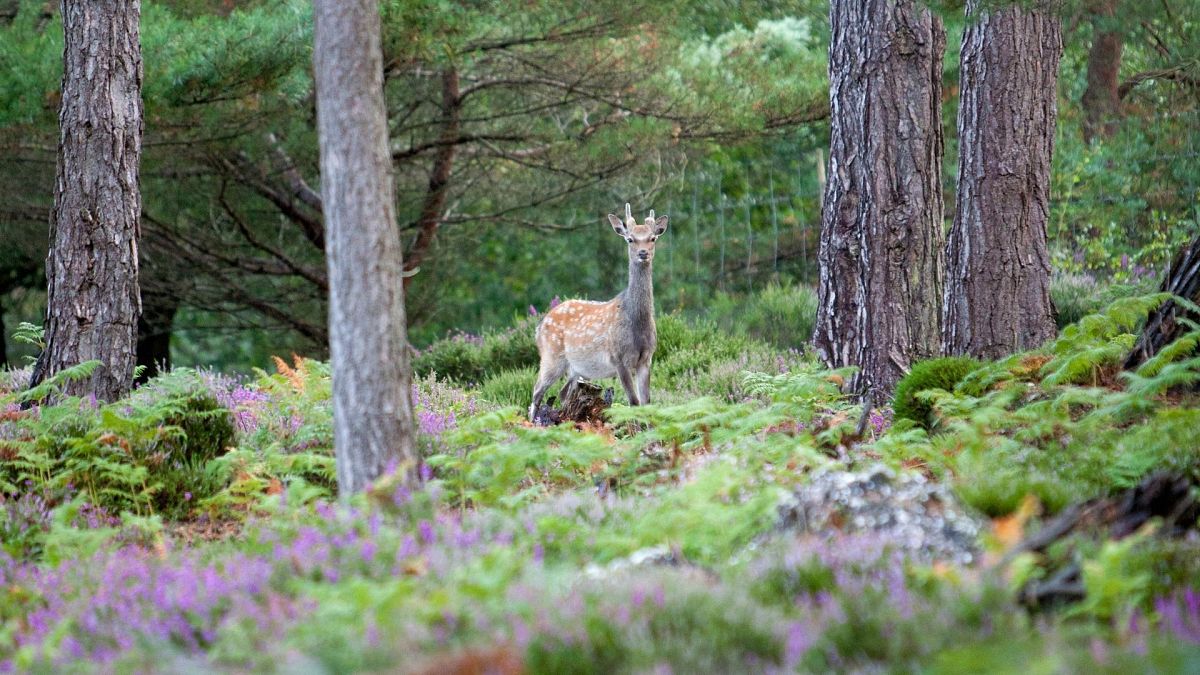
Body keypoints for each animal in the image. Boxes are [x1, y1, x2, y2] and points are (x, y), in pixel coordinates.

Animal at [530, 201, 672, 417]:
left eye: (653, 238)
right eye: (630, 239)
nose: (643, 253)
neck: (637, 324)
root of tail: (539, 327)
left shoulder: (646, 358)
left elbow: (646, 402)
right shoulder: (618, 358)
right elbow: (634, 402)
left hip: (576, 369)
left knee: (562, 393)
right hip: (550, 356)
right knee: (536, 391)